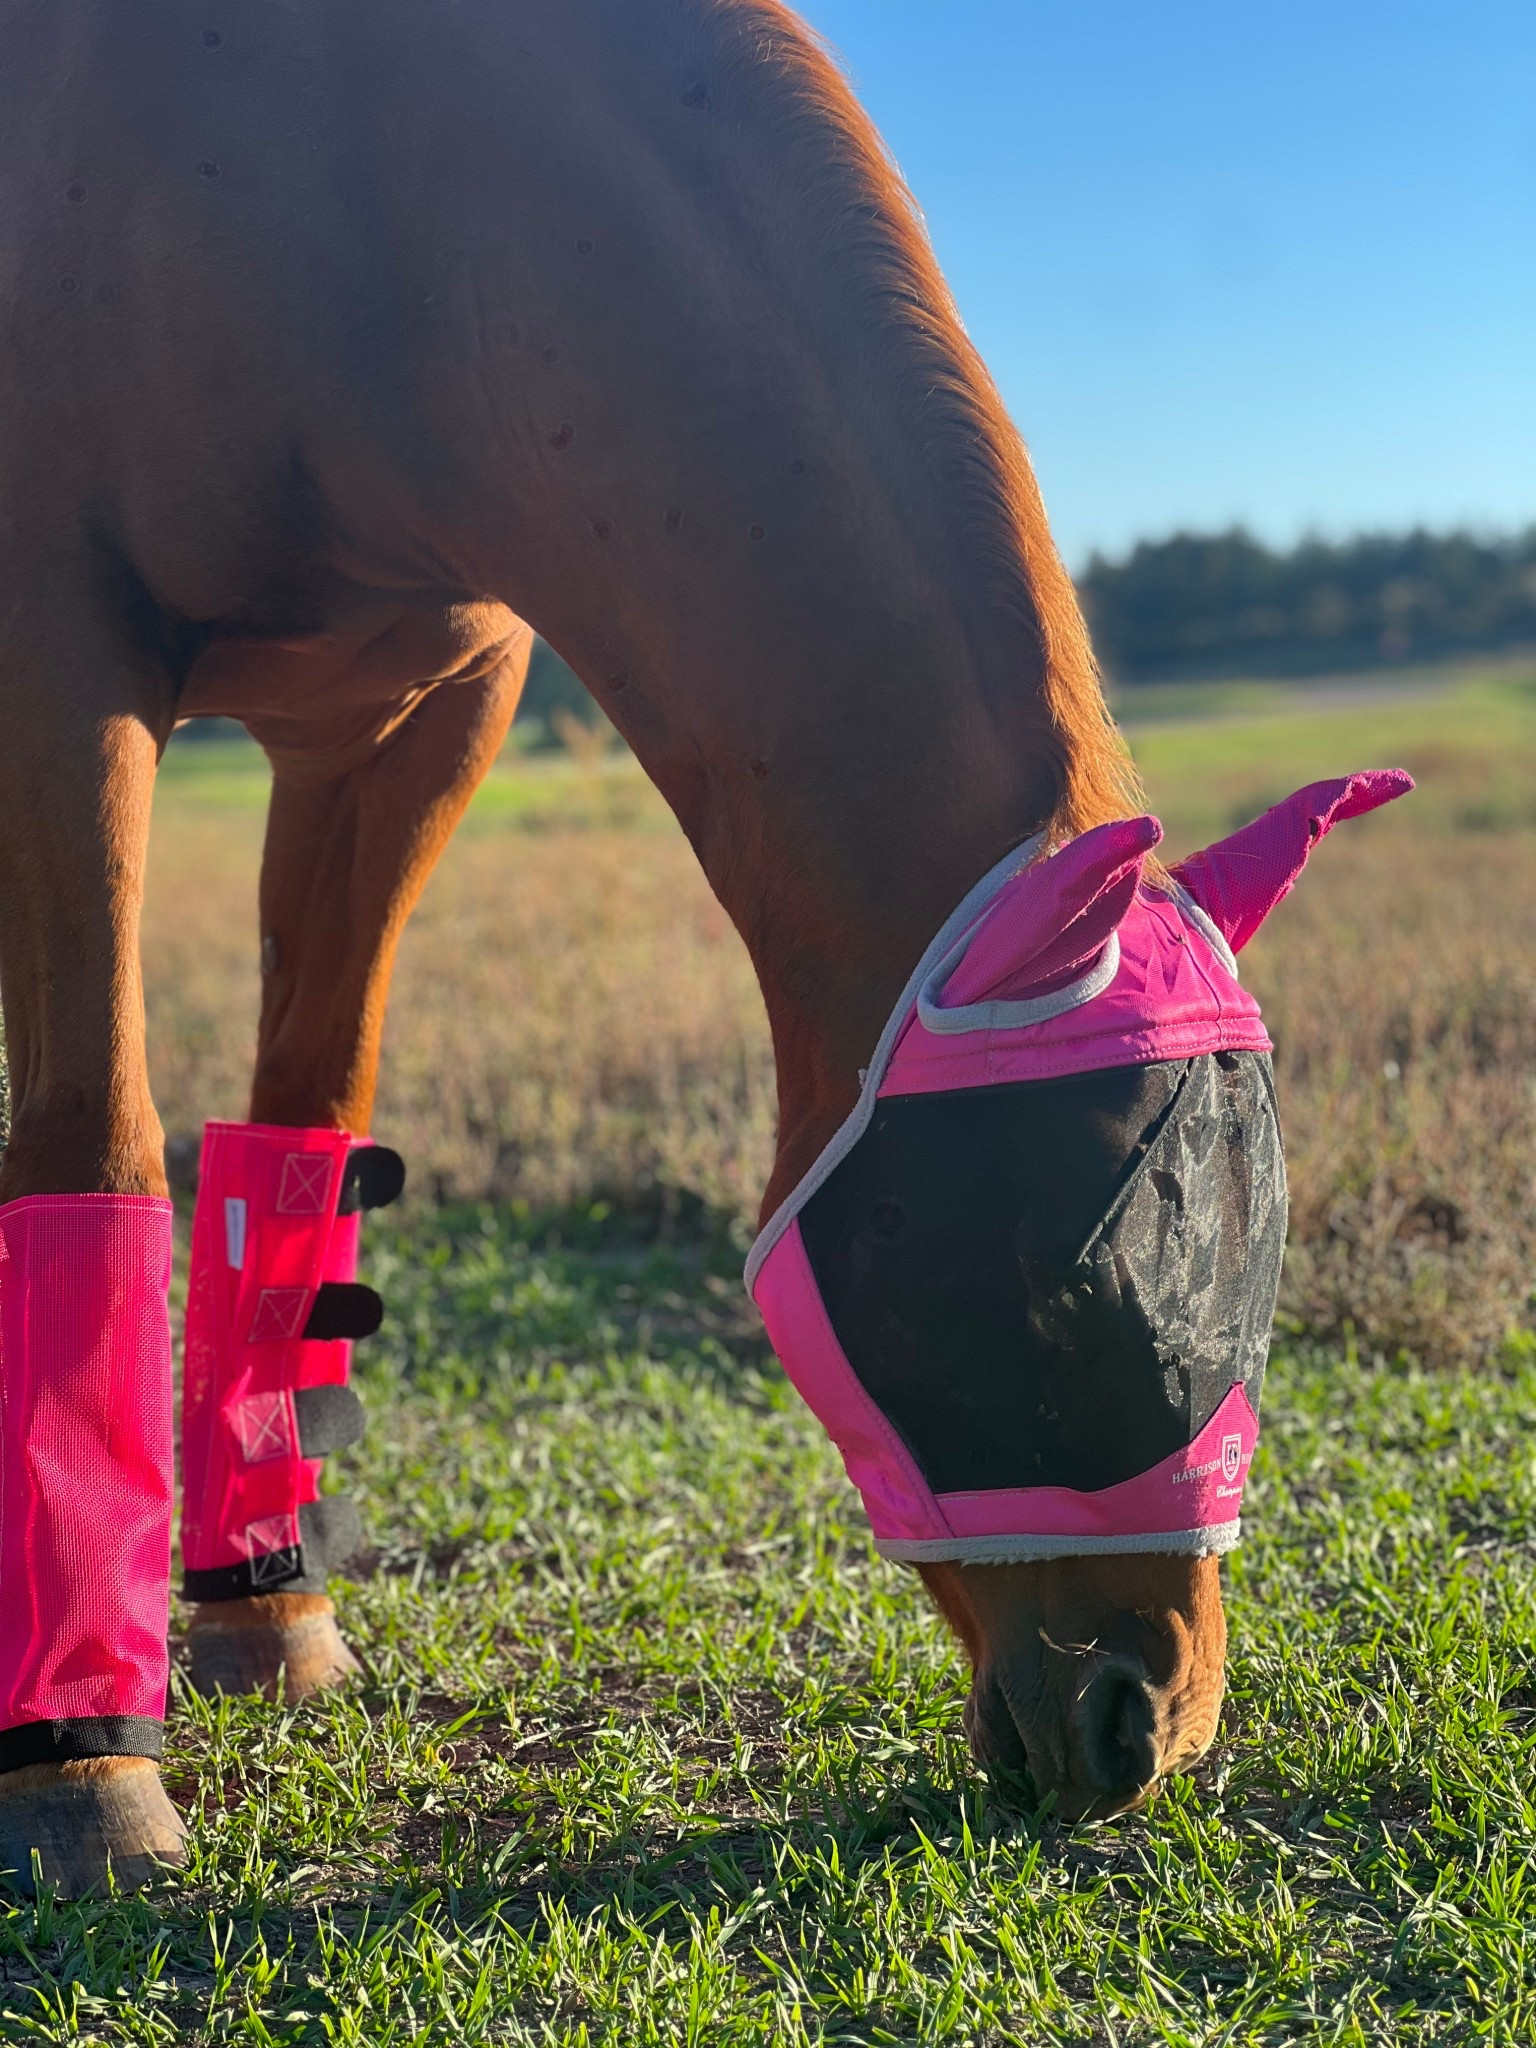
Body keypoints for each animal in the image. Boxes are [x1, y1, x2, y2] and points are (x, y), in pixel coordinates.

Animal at [0, 0, 1357, 1894]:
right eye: (1066, 1268)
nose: (1147, 1722)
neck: (361, 187)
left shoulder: (410, 717)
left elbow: (304, 1117)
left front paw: (271, 1621)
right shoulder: (59, 670)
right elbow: (90, 1140)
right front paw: (87, 1768)